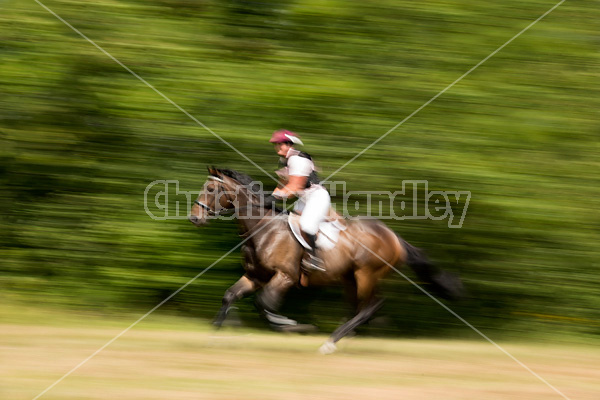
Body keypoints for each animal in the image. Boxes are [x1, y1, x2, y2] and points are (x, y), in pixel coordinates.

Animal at [190, 167, 462, 354]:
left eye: (211, 190)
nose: (194, 218)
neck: (262, 228)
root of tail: (393, 236)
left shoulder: (285, 277)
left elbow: (264, 304)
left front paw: (294, 327)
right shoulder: (255, 276)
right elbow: (230, 296)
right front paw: (213, 337)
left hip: (366, 274)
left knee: (372, 305)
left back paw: (331, 342)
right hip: (350, 279)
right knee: (360, 308)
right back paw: (343, 336)